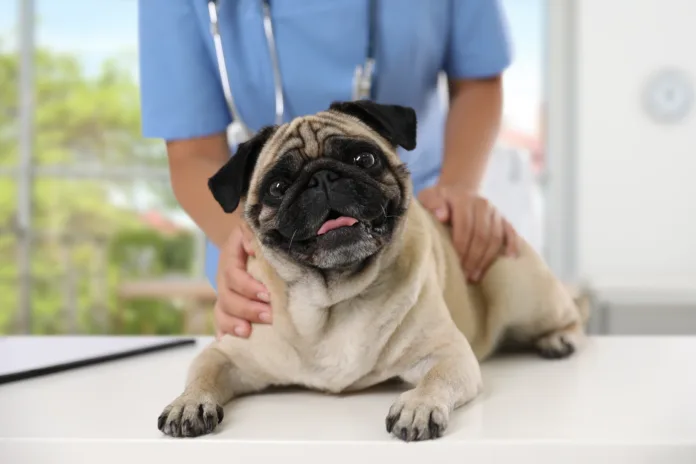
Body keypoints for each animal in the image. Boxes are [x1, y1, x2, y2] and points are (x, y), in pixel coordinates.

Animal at [158, 99, 588, 440]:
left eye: (363, 159)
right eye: (278, 187)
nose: (322, 177)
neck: (331, 300)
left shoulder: (448, 354)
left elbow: (434, 379)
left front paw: (418, 406)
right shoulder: (228, 354)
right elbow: (202, 372)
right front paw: (188, 403)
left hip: (522, 290)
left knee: (573, 315)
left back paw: (559, 339)